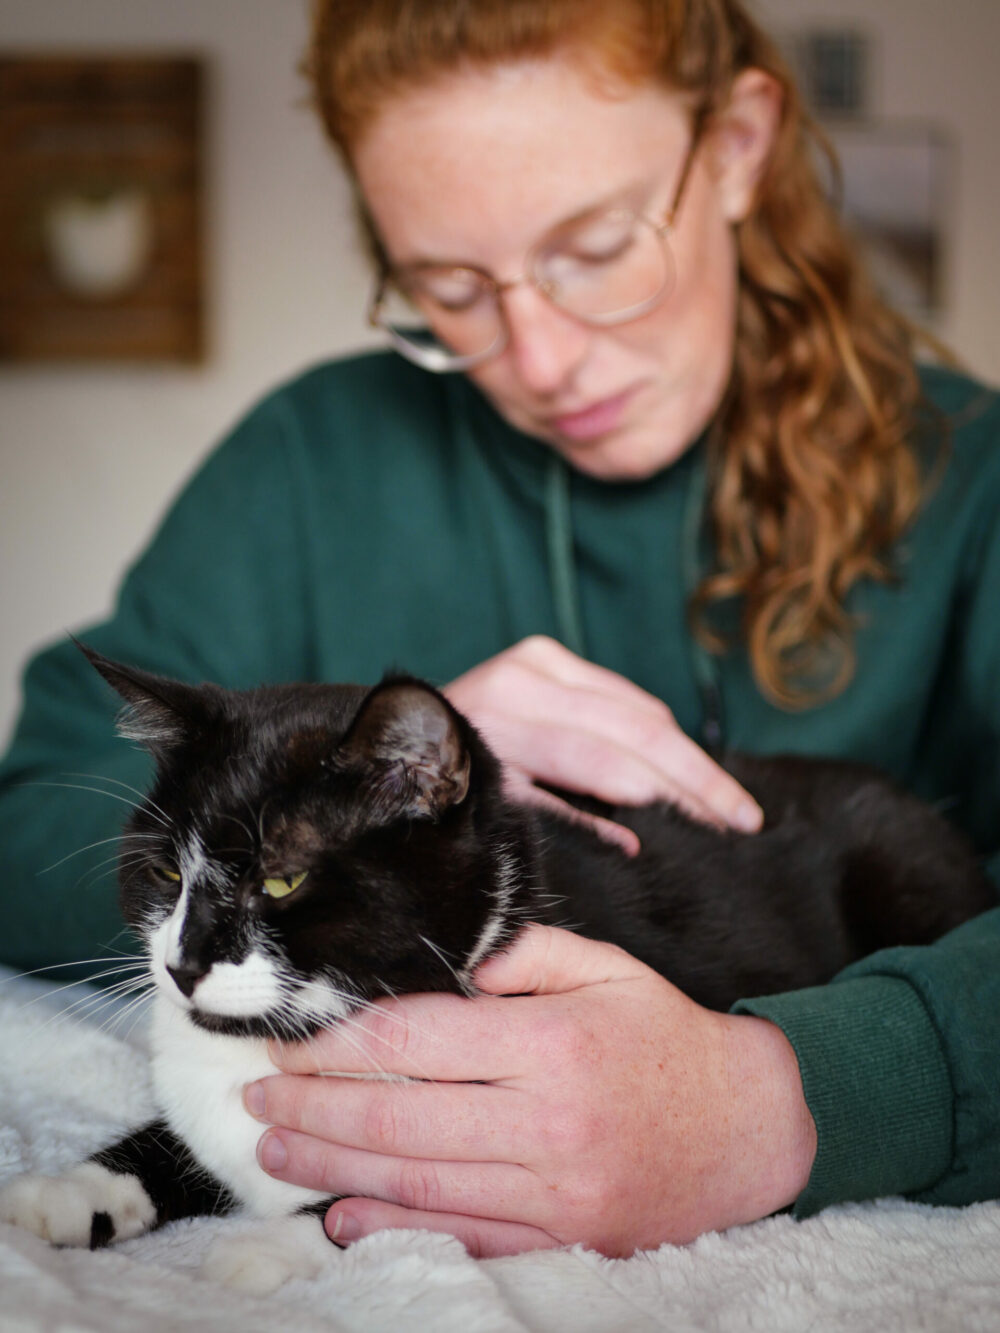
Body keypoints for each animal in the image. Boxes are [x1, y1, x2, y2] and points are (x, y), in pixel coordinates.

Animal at [0, 647, 997, 1290]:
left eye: (280, 878)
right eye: (166, 874)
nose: (182, 962)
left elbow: (400, 1190)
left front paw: (271, 1250)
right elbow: (179, 1135)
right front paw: (72, 1190)